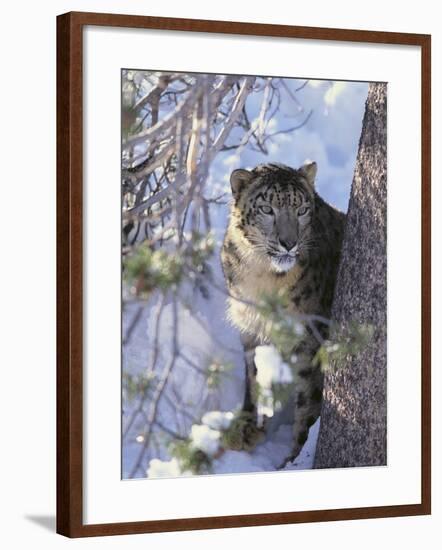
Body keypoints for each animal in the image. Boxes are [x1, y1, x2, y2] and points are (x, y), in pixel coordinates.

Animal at [221, 162, 346, 468]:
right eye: (267, 209)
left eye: (302, 209)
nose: (288, 243)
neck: (262, 277)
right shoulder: (250, 330)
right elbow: (252, 377)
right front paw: (245, 427)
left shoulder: (310, 340)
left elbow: (308, 400)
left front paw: (292, 460)